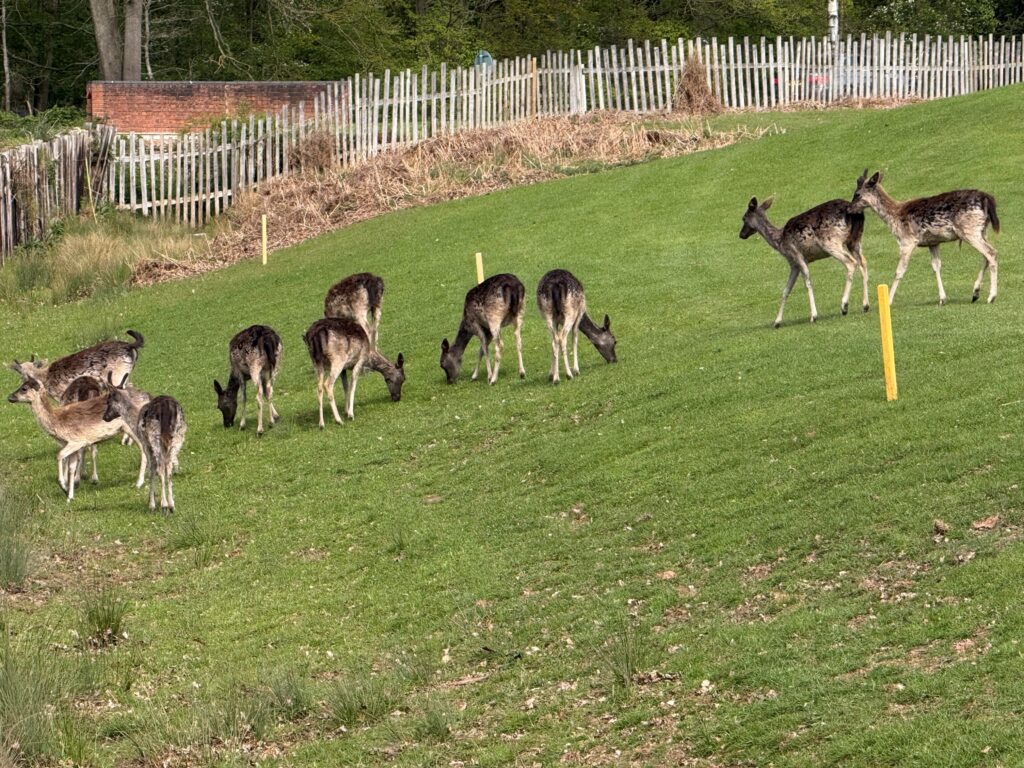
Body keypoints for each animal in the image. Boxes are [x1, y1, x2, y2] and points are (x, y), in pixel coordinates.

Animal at [7, 375, 146, 502]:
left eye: (24, 388)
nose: (9, 397)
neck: (57, 422)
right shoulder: (70, 443)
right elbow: (71, 467)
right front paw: (70, 496)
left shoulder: (77, 440)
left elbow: (59, 455)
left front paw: (64, 487)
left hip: (132, 427)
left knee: (143, 450)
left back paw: (139, 483)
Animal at [740, 196, 869, 328]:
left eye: (743, 218)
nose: (741, 234)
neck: (780, 243)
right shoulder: (793, 264)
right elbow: (786, 290)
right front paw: (777, 322)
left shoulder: (797, 256)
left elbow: (807, 283)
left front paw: (813, 316)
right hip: (855, 240)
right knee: (863, 262)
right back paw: (865, 305)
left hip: (830, 241)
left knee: (851, 262)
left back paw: (844, 306)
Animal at [851, 170, 1000, 305]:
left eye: (857, 194)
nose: (850, 208)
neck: (894, 218)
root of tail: (986, 198)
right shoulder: (932, 242)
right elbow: (936, 266)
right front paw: (942, 299)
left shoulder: (907, 240)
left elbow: (899, 271)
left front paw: (888, 301)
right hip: (982, 230)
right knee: (987, 255)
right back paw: (975, 293)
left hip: (969, 229)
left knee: (991, 252)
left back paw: (991, 296)